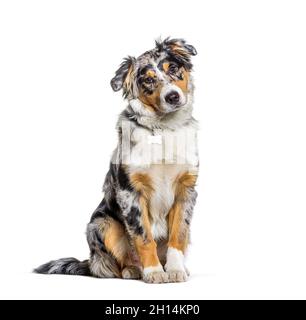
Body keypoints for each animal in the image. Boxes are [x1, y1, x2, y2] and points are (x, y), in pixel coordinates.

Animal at [35, 38, 198, 284]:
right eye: (148, 79)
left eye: (173, 68)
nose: (173, 96)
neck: (162, 130)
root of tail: (90, 262)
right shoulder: (130, 192)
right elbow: (143, 237)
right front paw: (154, 272)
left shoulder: (185, 190)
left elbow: (178, 234)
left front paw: (175, 269)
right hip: (101, 224)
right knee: (114, 264)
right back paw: (134, 270)